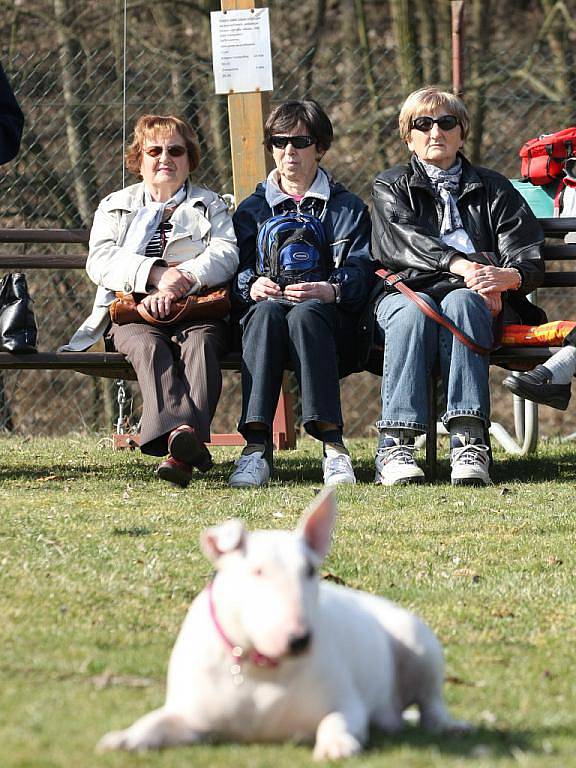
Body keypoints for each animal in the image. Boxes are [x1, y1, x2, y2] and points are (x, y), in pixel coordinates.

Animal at [98, 488, 468, 760]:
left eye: (310, 570)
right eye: (257, 571)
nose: (300, 640)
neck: (260, 667)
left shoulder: (346, 703)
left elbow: (338, 719)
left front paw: (336, 744)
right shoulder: (191, 715)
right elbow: (156, 722)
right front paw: (123, 737)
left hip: (417, 642)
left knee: (430, 703)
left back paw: (447, 725)